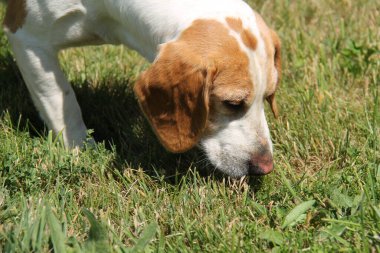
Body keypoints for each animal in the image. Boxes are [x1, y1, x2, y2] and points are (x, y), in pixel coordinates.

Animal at [2, 0, 280, 178]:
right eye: (232, 104)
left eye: (268, 97)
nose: (264, 168)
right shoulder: (27, 37)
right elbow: (61, 99)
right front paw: (80, 148)